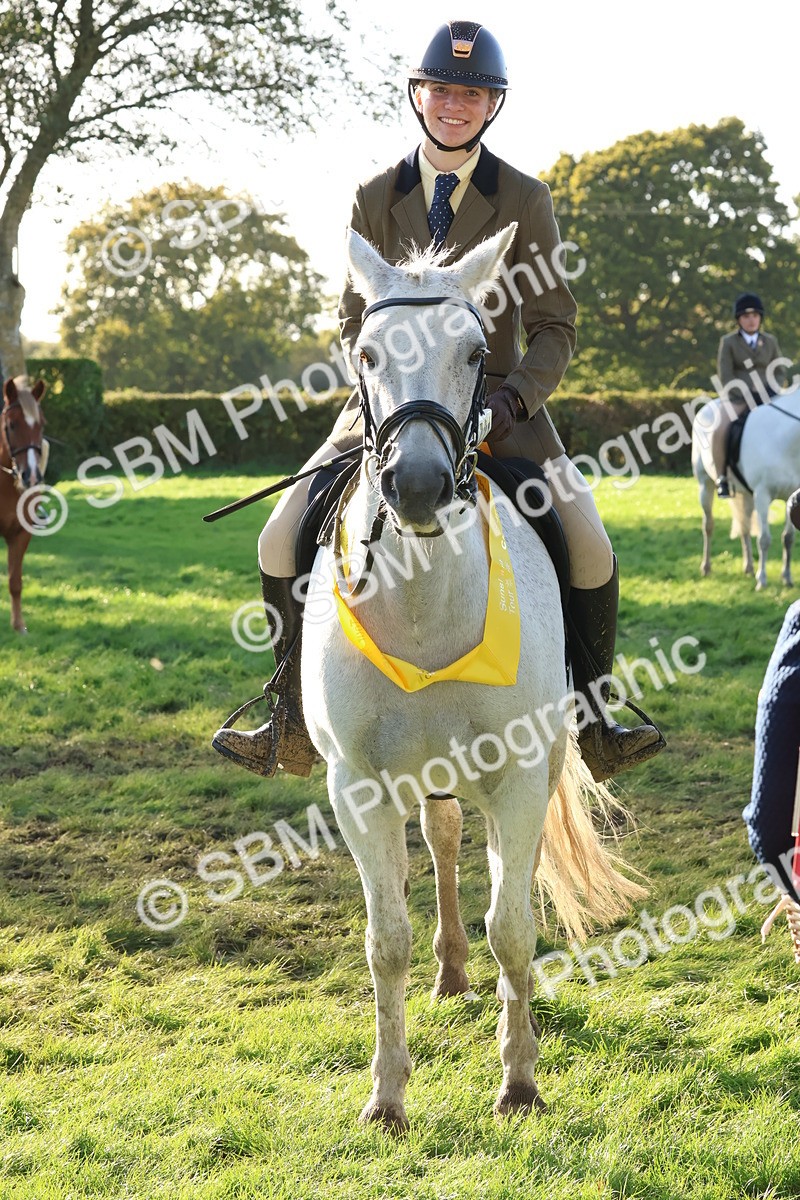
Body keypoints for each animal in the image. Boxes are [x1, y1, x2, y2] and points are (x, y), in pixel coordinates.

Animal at [300, 226, 646, 1130]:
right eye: (366, 351)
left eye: (475, 352)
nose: (417, 485)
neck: (426, 606)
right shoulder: (358, 786)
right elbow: (385, 940)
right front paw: (387, 1097)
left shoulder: (521, 777)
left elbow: (515, 928)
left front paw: (519, 1081)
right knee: (446, 838)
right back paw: (452, 972)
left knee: (494, 871)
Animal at [691, 387, 800, 590]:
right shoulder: (763, 495)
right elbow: (764, 539)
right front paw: (762, 580)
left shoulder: (792, 495)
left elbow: (788, 538)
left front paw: (787, 577)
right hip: (705, 485)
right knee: (708, 525)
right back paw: (706, 567)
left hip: (747, 496)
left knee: (745, 527)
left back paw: (749, 567)